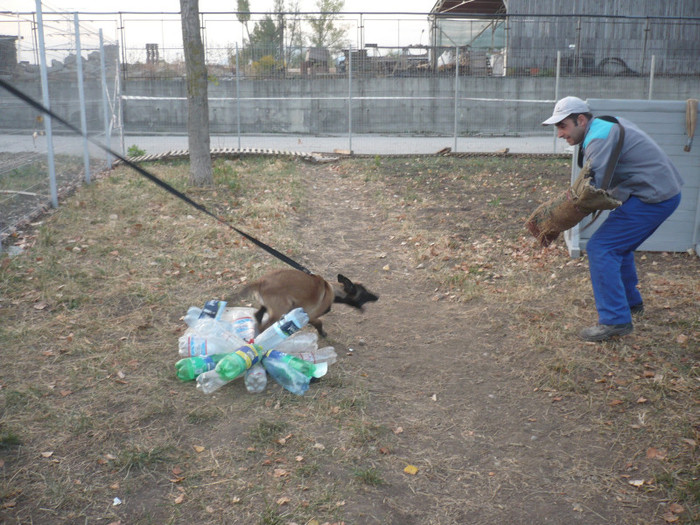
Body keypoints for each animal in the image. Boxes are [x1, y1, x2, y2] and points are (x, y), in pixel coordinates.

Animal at [232, 268, 378, 338]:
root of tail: (261, 281)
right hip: (280, 310)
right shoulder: (311, 316)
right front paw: (323, 334)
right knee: (264, 326)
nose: (377, 297)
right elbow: (320, 323)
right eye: (364, 293)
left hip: (270, 307)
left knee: (258, 316)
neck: (332, 290)